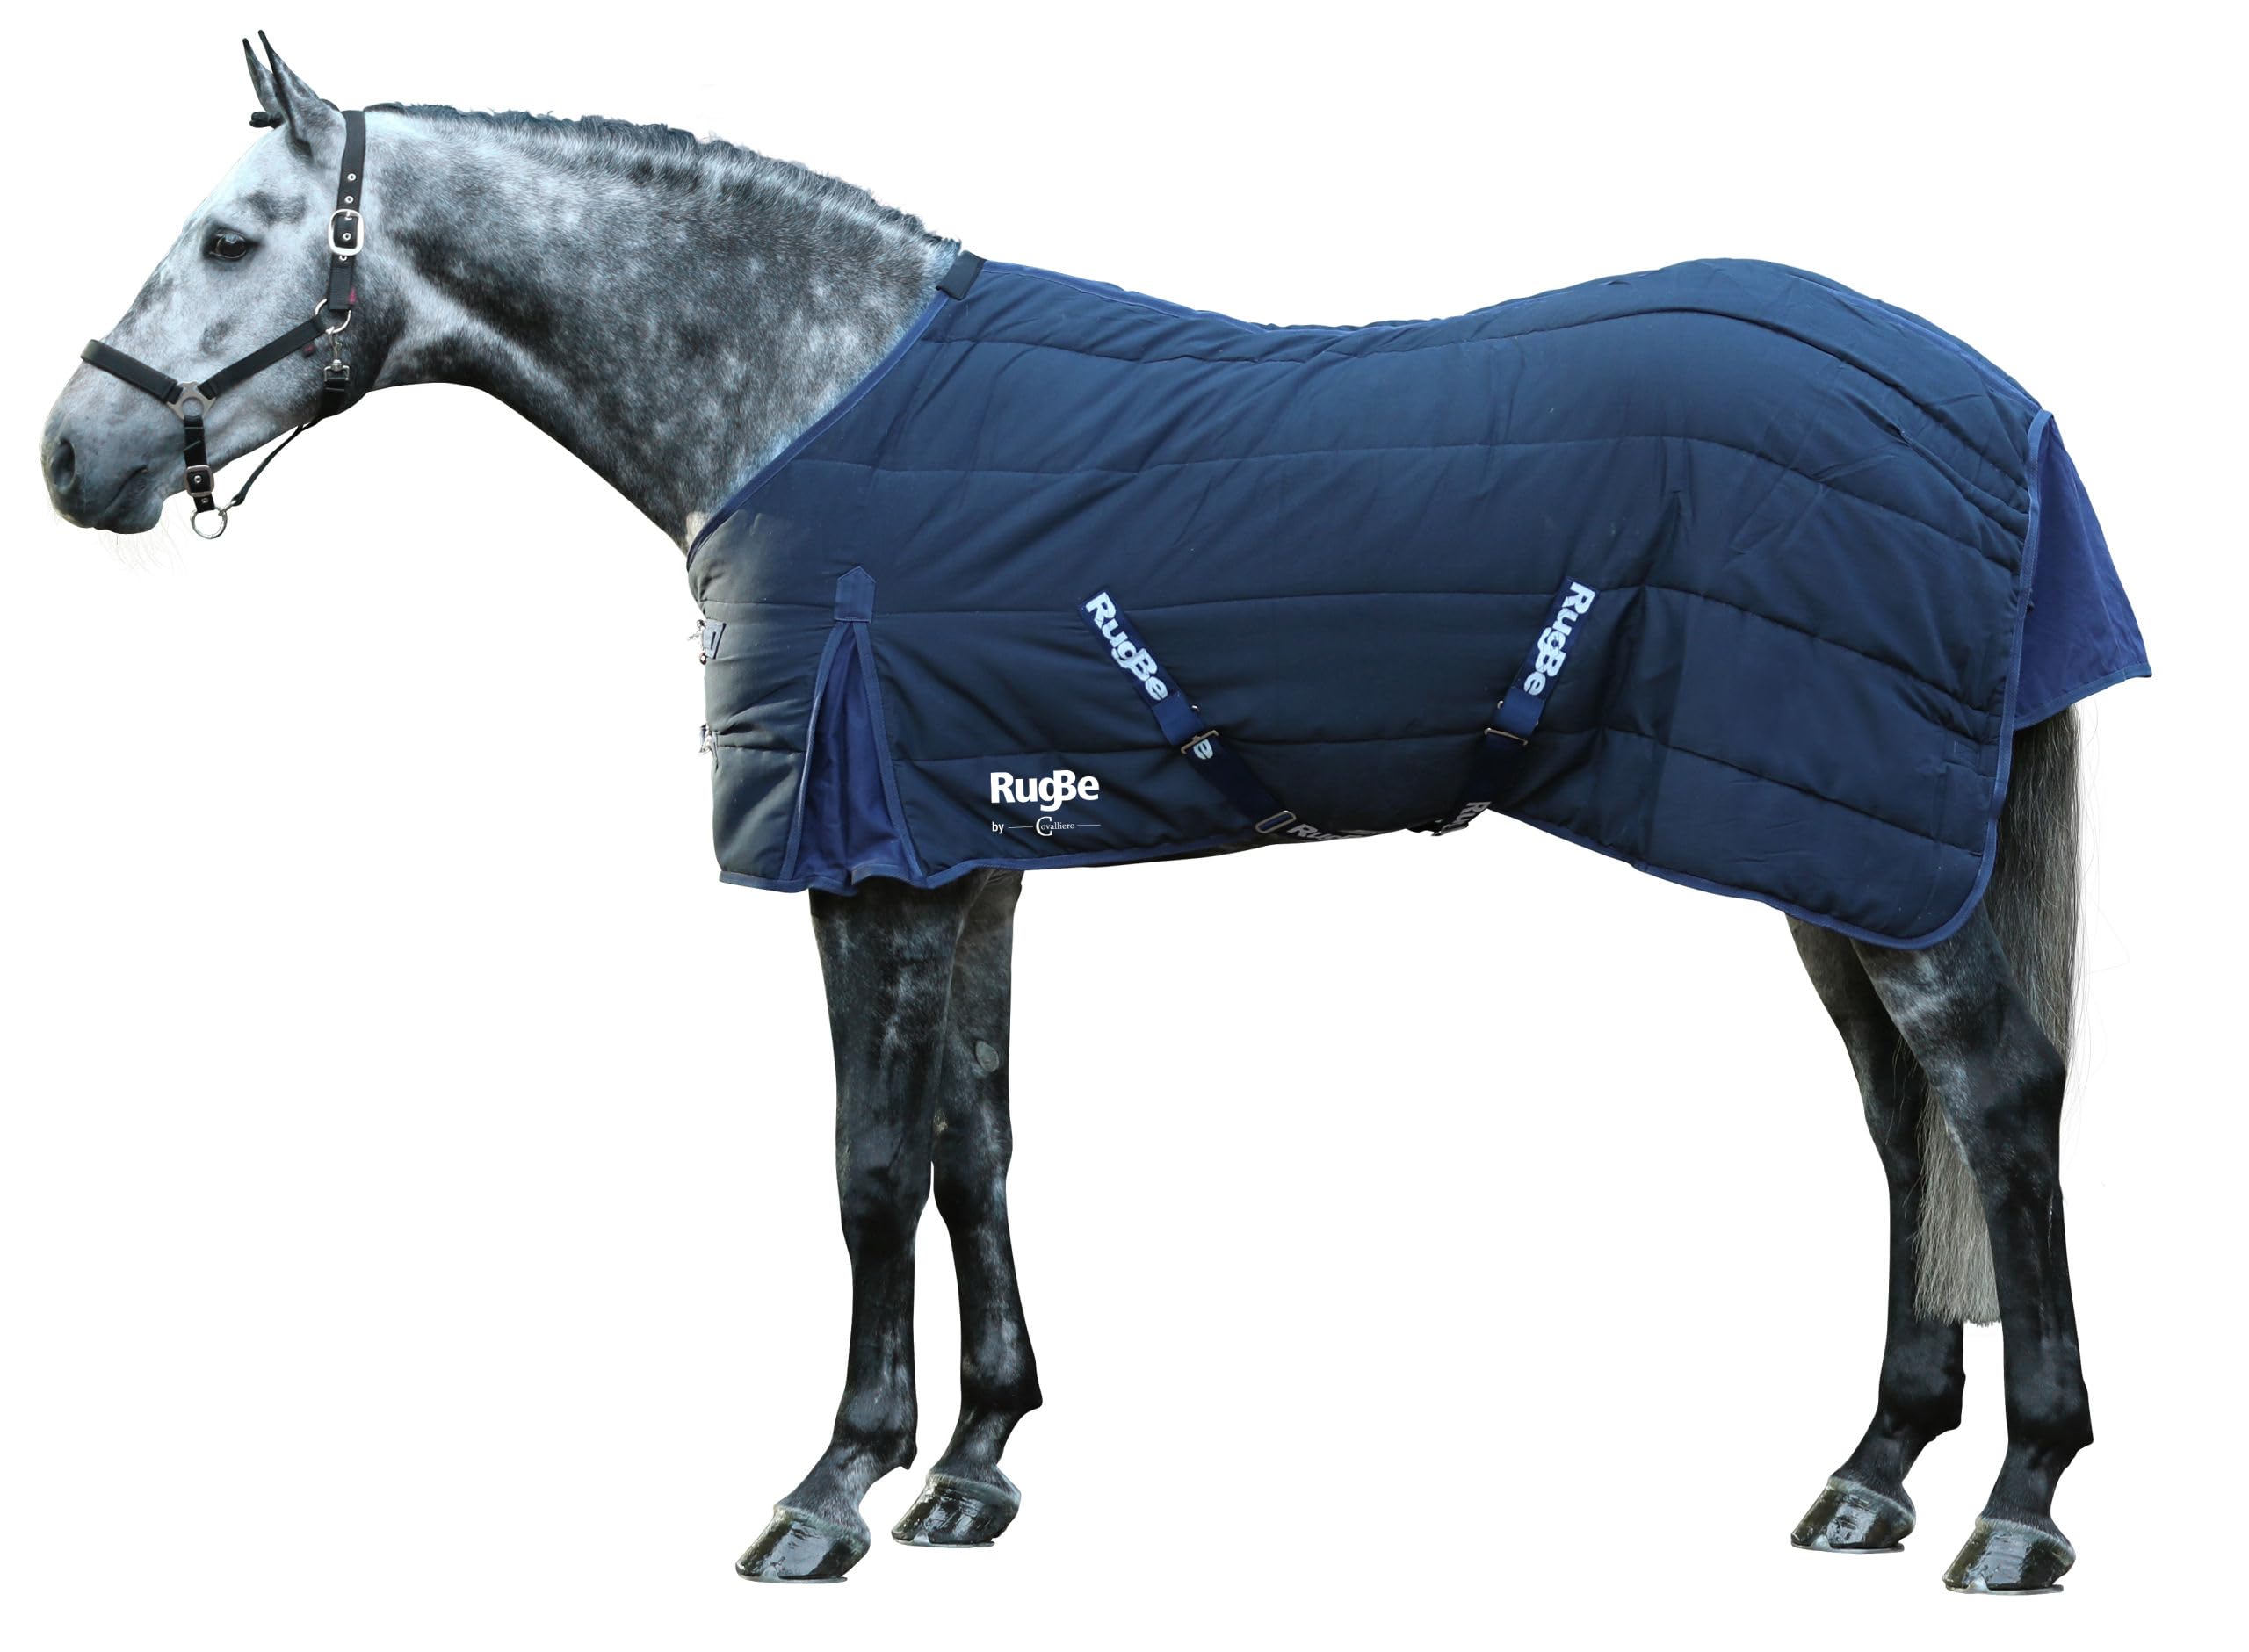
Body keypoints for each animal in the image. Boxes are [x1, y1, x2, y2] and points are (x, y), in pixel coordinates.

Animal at [41, 37, 2145, 1593]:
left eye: (228, 238)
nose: (75, 456)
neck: (805, 391)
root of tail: (2001, 407)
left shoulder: (869, 874)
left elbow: (866, 1167)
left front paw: (833, 1486)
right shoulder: (967, 856)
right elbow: (975, 1144)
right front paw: (976, 1463)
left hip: (1868, 850)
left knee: (1997, 1102)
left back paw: (2017, 1502)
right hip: (1831, 850)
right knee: (1902, 1127)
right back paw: (1872, 1471)